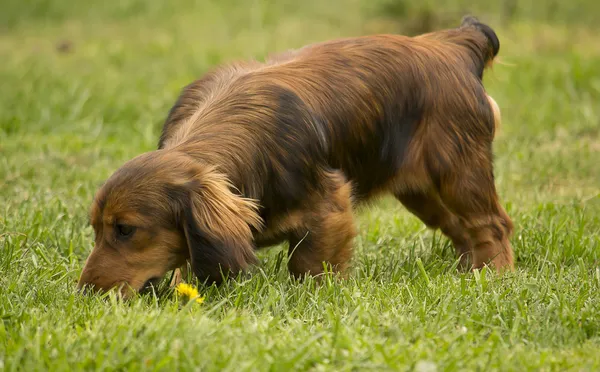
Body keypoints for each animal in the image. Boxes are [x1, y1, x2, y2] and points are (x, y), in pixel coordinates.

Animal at [76, 16, 516, 298]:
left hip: (458, 172)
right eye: (95, 228)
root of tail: (454, 44)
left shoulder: (329, 207)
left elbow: (307, 266)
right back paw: (465, 273)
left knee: (492, 225)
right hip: (421, 192)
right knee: (461, 230)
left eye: (126, 229)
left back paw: (494, 278)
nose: (84, 295)